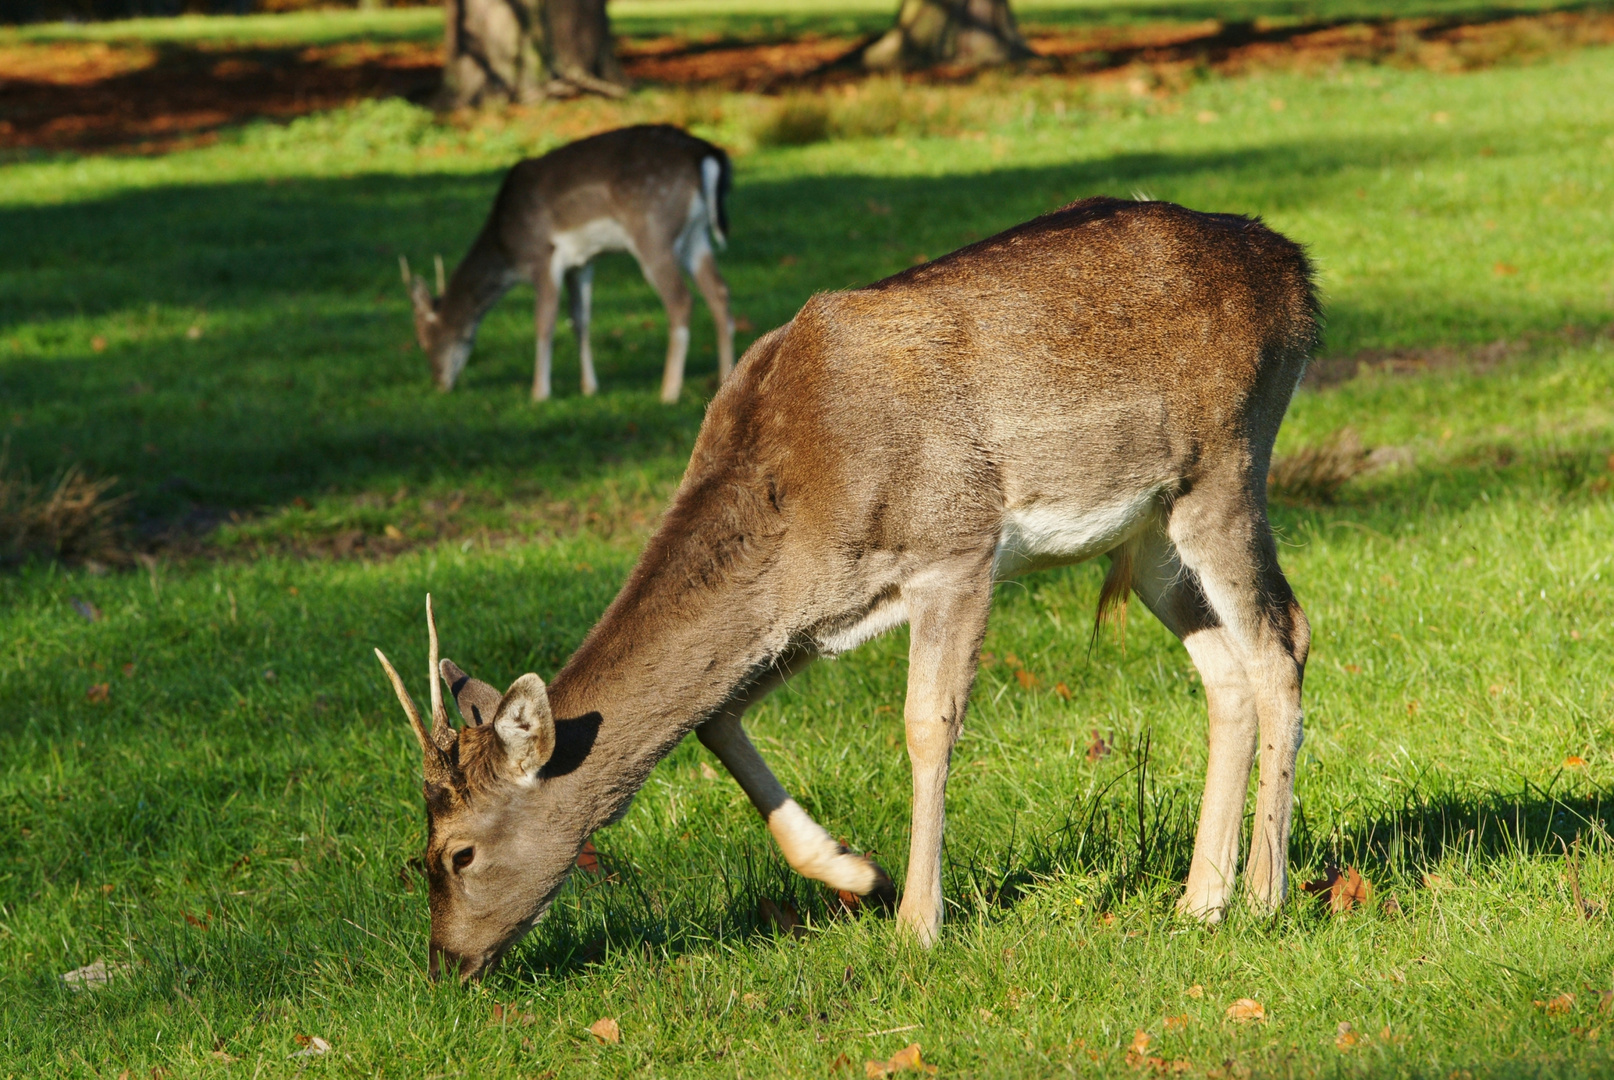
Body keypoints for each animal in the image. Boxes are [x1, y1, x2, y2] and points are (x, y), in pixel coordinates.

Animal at [377, 196, 1323, 975]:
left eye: (456, 852)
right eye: (418, 851)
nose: (443, 966)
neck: (801, 482)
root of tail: (1298, 277)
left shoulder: (954, 549)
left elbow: (926, 726)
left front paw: (916, 925)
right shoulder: (817, 609)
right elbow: (715, 718)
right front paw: (855, 873)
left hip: (1226, 462)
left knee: (1284, 639)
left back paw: (1265, 896)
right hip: (1153, 528)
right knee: (1225, 670)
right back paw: (1201, 900)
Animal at [400, 121, 735, 400]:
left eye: (422, 339)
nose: (439, 382)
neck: (507, 246)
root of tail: (705, 153)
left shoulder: (543, 254)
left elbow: (544, 321)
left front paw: (539, 392)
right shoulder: (582, 262)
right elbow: (580, 319)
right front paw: (589, 387)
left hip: (653, 230)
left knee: (680, 299)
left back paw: (668, 391)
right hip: (696, 236)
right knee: (719, 292)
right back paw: (725, 380)